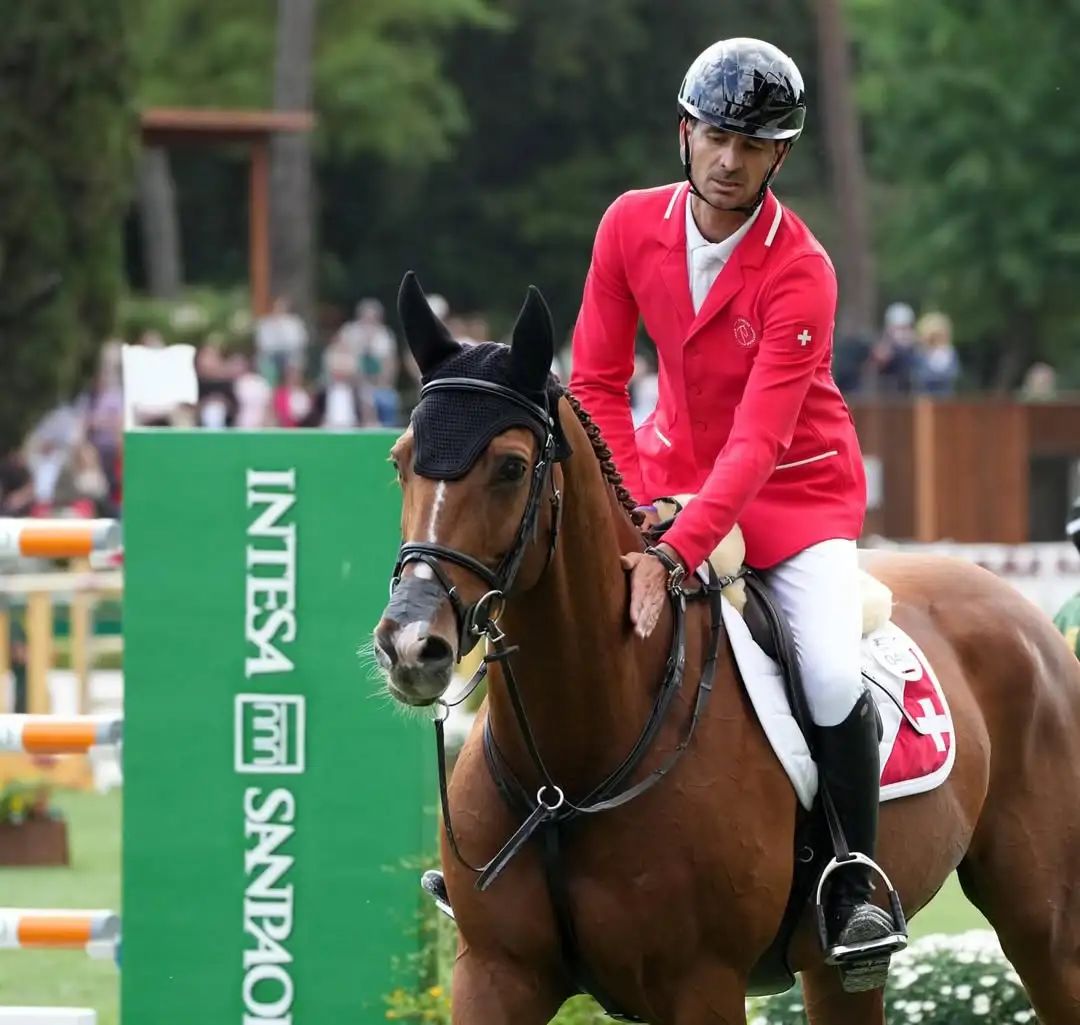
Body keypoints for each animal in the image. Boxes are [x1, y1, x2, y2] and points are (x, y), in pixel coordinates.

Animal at [373, 272, 1080, 1024]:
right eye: (399, 462)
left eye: (510, 467)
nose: (411, 645)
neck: (567, 776)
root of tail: (1027, 615)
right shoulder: (496, 973)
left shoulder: (700, 983)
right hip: (838, 971)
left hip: (1044, 926)